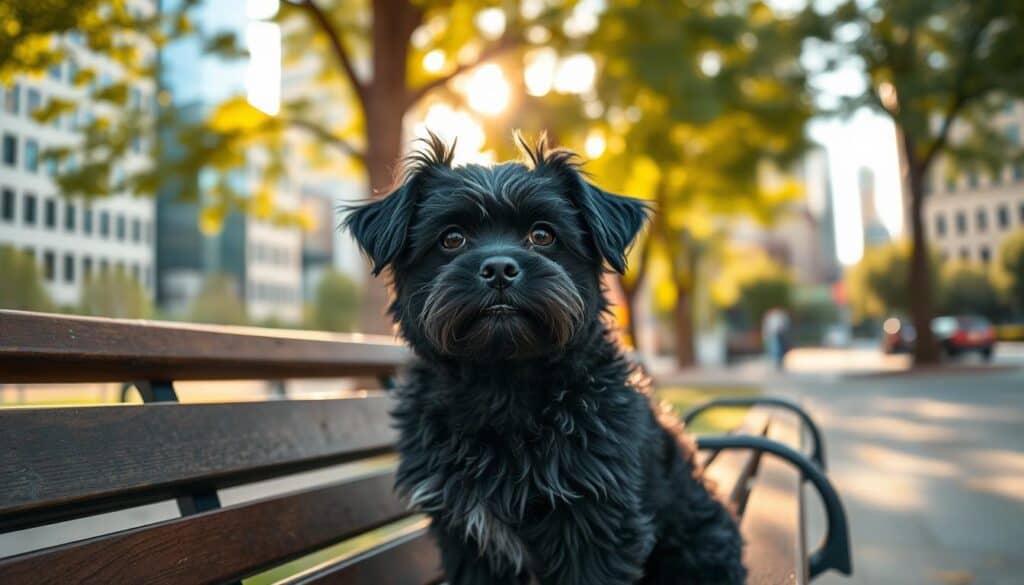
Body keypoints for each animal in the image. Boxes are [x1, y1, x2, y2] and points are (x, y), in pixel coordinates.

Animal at [344, 134, 745, 585]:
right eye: (451, 239)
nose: (500, 267)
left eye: (542, 234)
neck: (501, 385)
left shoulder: (596, 525)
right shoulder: (466, 539)